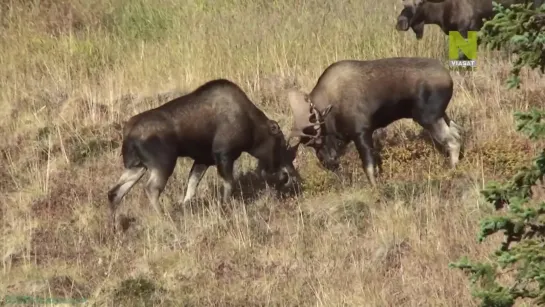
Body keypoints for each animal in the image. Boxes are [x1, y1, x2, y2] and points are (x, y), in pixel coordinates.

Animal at [107, 78, 298, 230]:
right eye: (280, 143)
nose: (287, 176)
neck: (253, 132)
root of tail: (127, 134)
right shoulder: (223, 154)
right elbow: (229, 184)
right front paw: (225, 208)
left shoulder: (203, 160)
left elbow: (190, 189)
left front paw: (186, 208)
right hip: (163, 163)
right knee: (150, 189)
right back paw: (165, 218)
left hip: (136, 165)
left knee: (114, 192)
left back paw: (115, 226)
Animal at [284, 58, 460, 188]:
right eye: (309, 144)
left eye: (318, 138)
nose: (327, 162)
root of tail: (449, 78)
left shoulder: (362, 132)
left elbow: (369, 166)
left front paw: (375, 188)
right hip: (441, 114)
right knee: (457, 131)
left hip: (428, 117)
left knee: (453, 140)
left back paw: (452, 170)